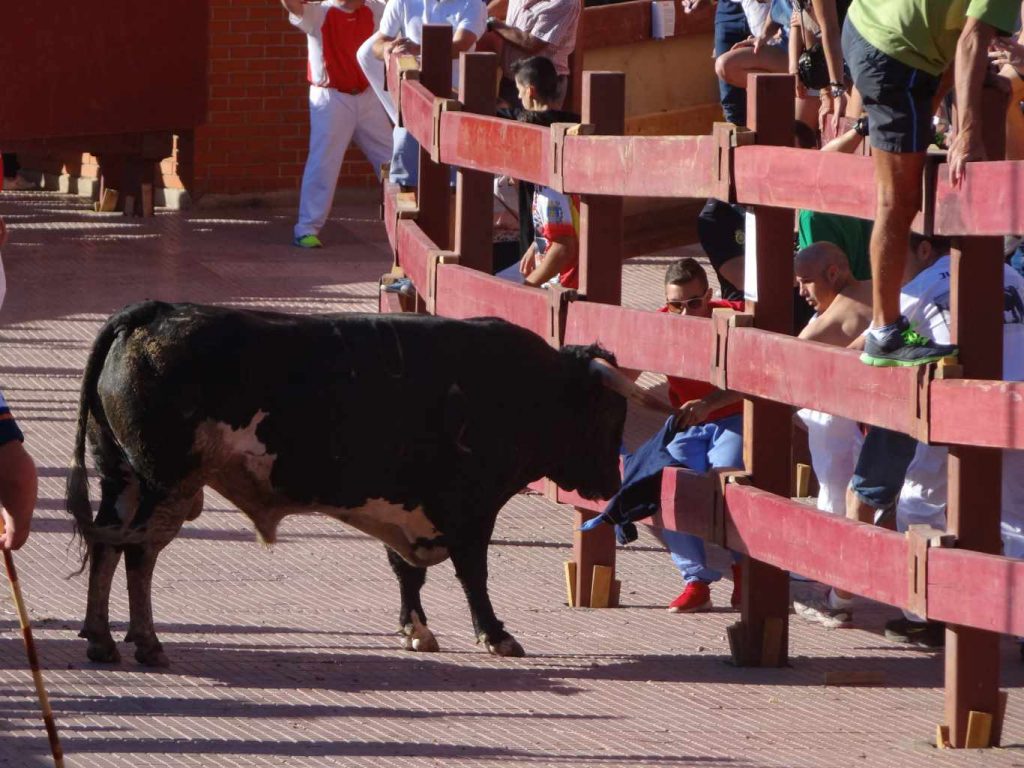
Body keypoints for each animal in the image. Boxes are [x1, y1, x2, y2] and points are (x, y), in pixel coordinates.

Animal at [68, 303, 626, 667]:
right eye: (609, 416)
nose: (610, 483)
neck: (523, 387)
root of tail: (148, 314)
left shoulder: (405, 508)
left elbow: (406, 571)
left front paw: (415, 630)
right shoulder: (471, 508)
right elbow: (473, 574)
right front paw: (495, 636)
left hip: (122, 478)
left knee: (108, 544)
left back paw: (101, 640)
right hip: (163, 484)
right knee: (139, 554)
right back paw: (147, 643)